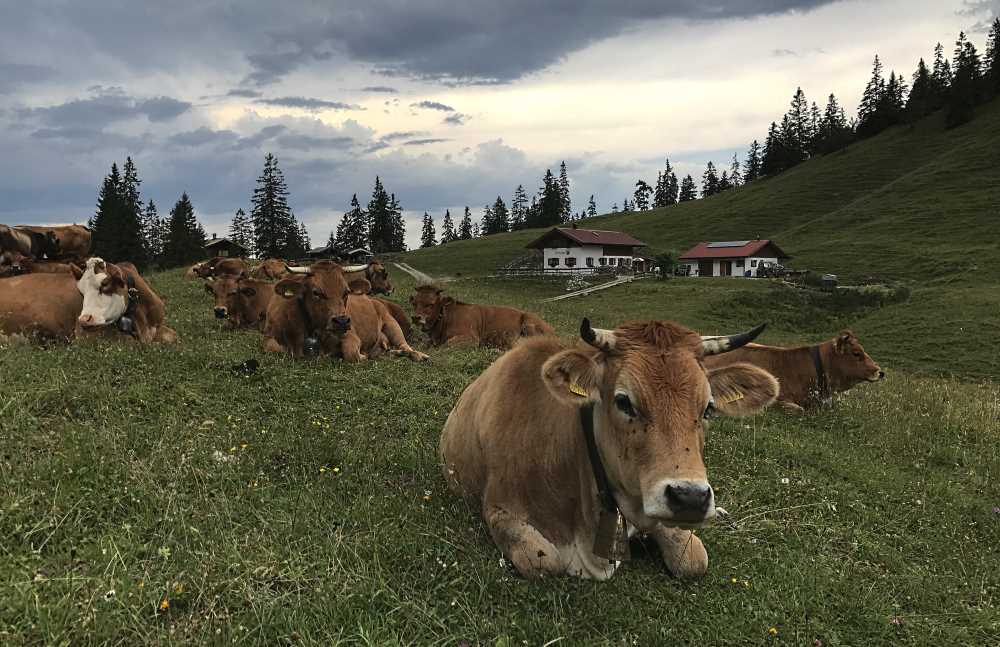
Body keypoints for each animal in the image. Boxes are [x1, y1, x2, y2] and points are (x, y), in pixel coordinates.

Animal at [262, 264, 426, 364]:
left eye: (346, 291)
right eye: (316, 292)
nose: (341, 321)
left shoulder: (351, 335)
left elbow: (351, 353)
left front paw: (365, 355)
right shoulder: (269, 336)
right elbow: (274, 348)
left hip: (391, 324)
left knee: (405, 345)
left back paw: (418, 355)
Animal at [408, 284, 556, 350]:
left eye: (430, 304)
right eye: (414, 303)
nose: (415, 317)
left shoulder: (471, 338)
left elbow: (447, 344)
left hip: (528, 323)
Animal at [442, 318, 776, 584]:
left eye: (708, 408)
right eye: (624, 401)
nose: (690, 498)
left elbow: (694, 560)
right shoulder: (500, 511)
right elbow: (543, 561)